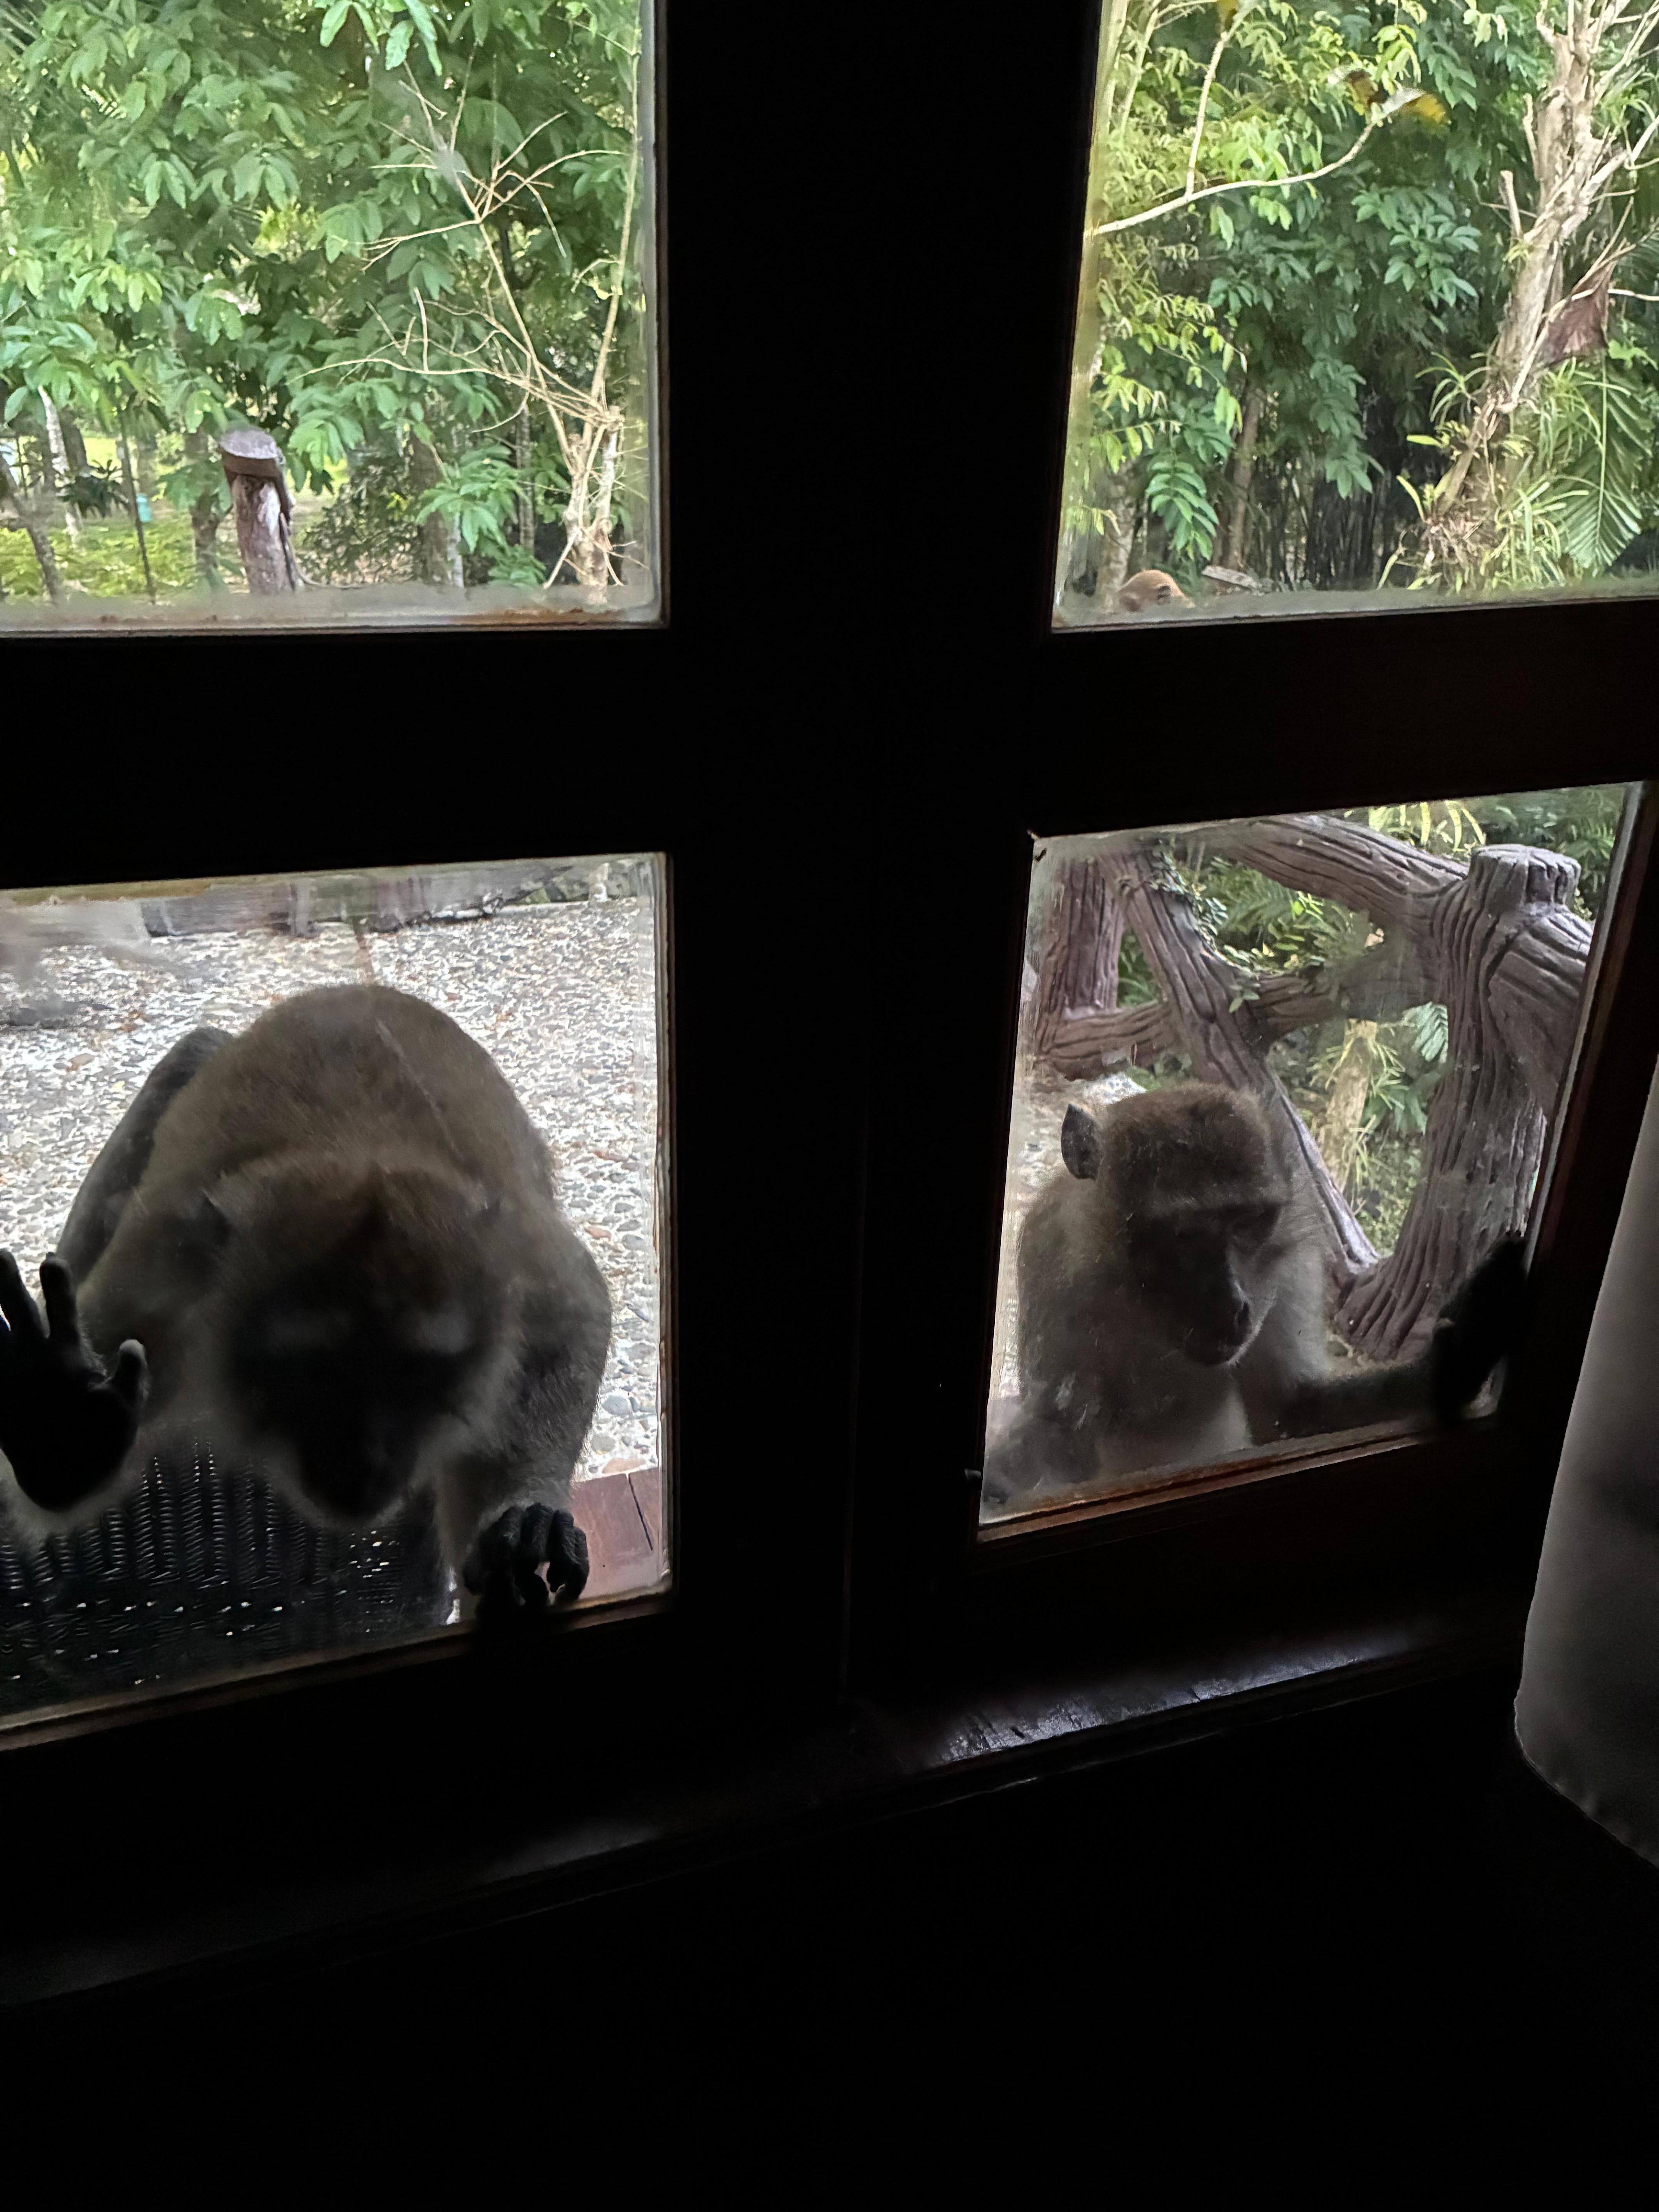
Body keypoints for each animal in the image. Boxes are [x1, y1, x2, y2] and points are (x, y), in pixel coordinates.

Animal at [0, 984, 612, 1618]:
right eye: (311, 1371)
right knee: (192, 1056)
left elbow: (576, 1312)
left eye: (417, 1373)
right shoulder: (166, 1265)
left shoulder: (511, 1246)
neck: (360, 1157)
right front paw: (67, 1431)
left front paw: (523, 1516)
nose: (363, 1463)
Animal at [984, 1082, 1523, 1505]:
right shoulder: (1054, 1258)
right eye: (1184, 1235)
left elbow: (1291, 1411)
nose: (1230, 1307)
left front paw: (1458, 1355)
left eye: (1250, 1222)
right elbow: (1060, 1433)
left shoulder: (1289, 1262)